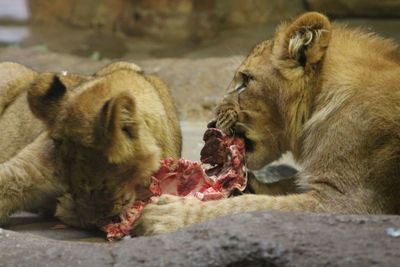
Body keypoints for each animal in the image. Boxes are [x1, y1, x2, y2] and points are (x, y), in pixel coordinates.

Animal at [135, 12, 400, 237]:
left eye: (245, 80)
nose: (211, 121)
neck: (319, 99)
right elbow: (287, 183)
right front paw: (249, 185)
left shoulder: (345, 204)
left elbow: (249, 208)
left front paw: (167, 214)